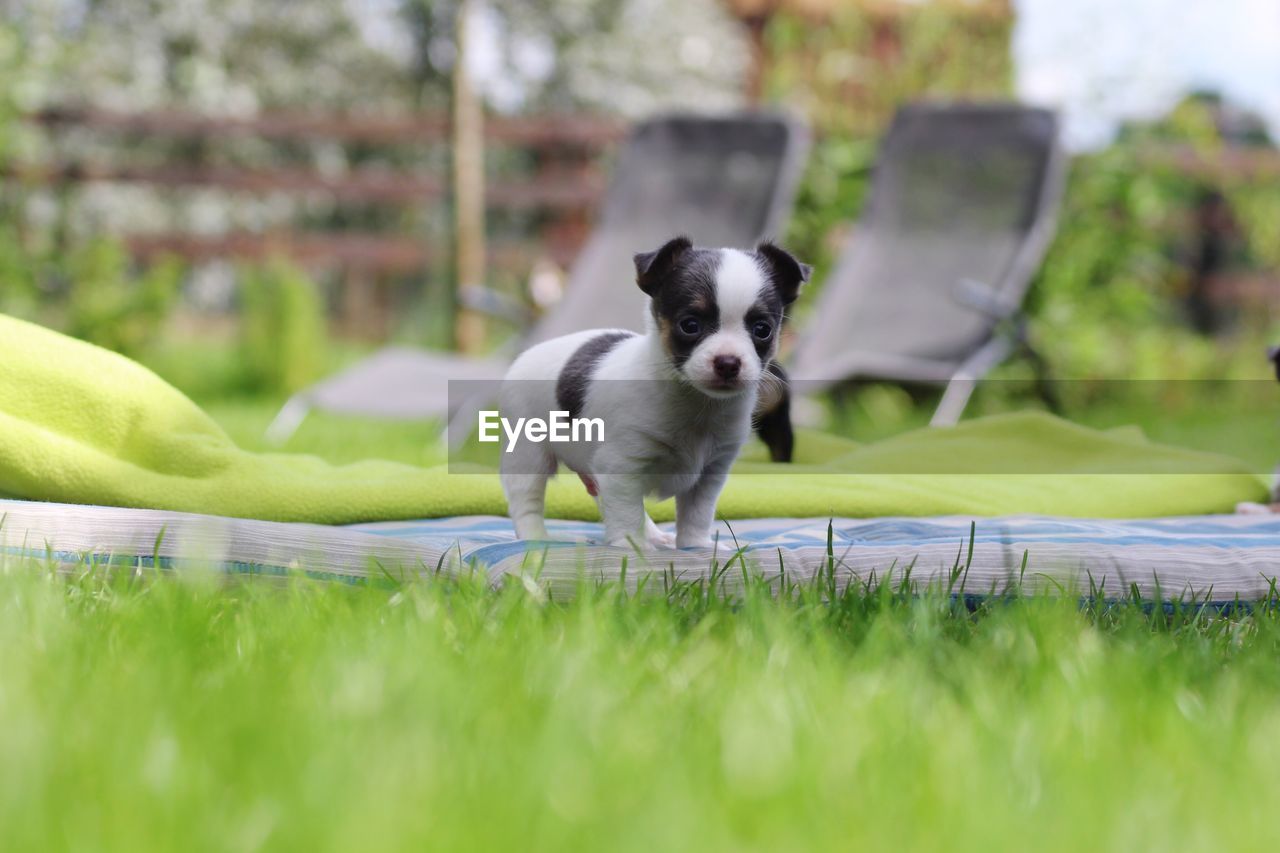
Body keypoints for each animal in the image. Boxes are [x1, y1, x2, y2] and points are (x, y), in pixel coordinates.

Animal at [499, 235, 808, 548]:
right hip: (529, 454)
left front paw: (695, 545)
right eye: (690, 325)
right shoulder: (622, 465)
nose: (728, 363)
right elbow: (626, 512)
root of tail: (528, 354)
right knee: (526, 498)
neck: (696, 404)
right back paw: (534, 537)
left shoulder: (710, 473)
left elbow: (697, 513)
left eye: (762, 330)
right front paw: (630, 548)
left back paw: (654, 534)